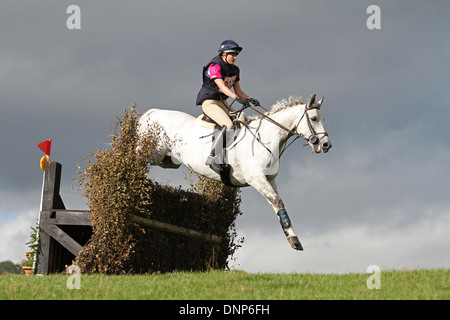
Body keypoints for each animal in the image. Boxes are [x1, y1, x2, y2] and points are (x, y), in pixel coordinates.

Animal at [137, 95, 330, 250]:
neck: (266, 137)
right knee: (137, 156)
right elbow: (277, 201)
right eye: (314, 118)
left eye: (322, 118)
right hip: (152, 152)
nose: (327, 144)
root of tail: (151, 113)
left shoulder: (269, 179)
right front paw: (294, 239)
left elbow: (277, 204)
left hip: (167, 161)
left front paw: (293, 237)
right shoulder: (256, 178)